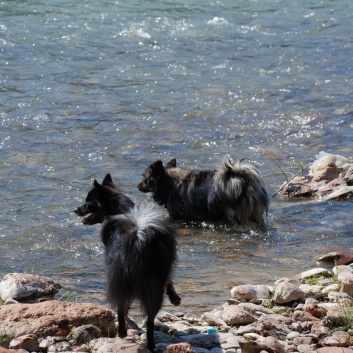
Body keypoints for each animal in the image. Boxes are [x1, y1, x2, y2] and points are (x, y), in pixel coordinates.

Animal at [74, 173, 179, 350]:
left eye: (88, 203)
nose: (75, 209)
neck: (121, 211)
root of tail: (137, 236)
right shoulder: (166, 265)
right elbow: (169, 278)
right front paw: (174, 297)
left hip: (118, 278)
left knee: (121, 306)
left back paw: (123, 332)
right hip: (152, 279)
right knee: (150, 319)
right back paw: (150, 343)